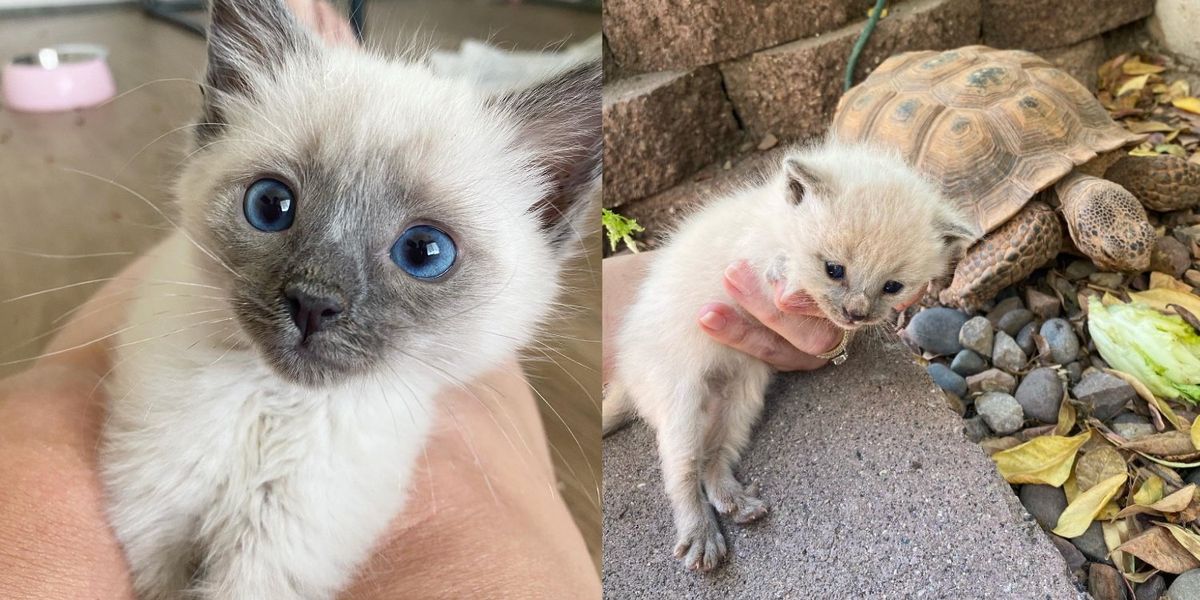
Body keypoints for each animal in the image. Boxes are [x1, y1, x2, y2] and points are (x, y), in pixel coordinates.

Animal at [98, 1, 600, 600]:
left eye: (424, 252)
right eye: (270, 205)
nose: (313, 303)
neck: (275, 405)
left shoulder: (278, 556)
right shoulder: (158, 521)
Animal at [604, 140, 979, 571]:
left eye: (892, 286)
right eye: (834, 269)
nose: (856, 314)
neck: (777, 225)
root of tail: (625, 369)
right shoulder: (746, 261)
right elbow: (774, 268)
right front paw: (786, 270)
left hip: (742, 399)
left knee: (713, 459)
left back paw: (736, 502)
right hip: (680, 400)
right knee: (682, 470)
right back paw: (700, 536)